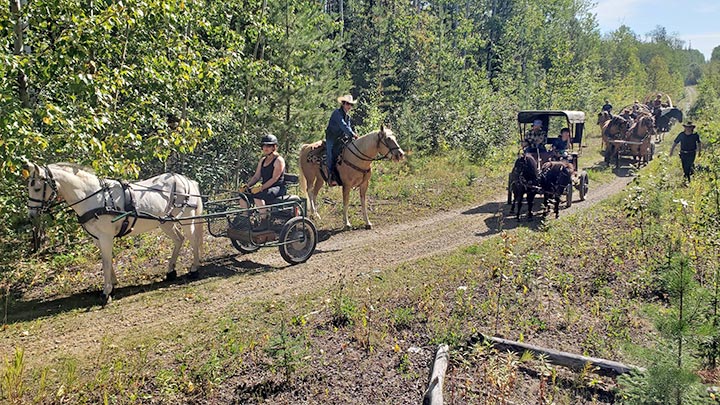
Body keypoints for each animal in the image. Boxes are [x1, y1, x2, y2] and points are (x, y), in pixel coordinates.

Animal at [24, 162, 204, 304]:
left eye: (37, 188)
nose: (31, 215)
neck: (93, 198)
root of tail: (186, 180)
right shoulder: (97, 238)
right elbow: (107, 259)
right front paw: (113, 284)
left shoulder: (105, 237)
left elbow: (105, 262)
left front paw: (106, 292)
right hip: (165, 222)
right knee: (179, 239)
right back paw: (171, 271)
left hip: (186, 218)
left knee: (193, 239)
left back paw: (194, 269)